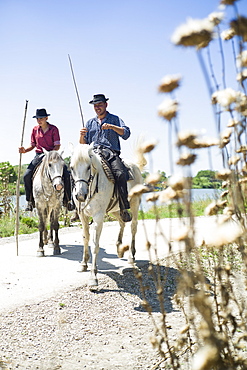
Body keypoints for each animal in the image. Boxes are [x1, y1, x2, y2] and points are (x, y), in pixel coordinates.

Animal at [69, 144, 143, 286]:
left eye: (88, 166)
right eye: (71, 167)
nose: (80, 195)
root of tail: (135, 166)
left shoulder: (98, 216)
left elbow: (95, 244)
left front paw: (93, 277)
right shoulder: (83, 216)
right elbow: (85, 238)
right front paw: (83, 263)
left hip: (135, 204)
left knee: (133, 227)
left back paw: (131, 257)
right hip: (115, 210)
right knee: (122, 222)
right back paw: (119, 248)